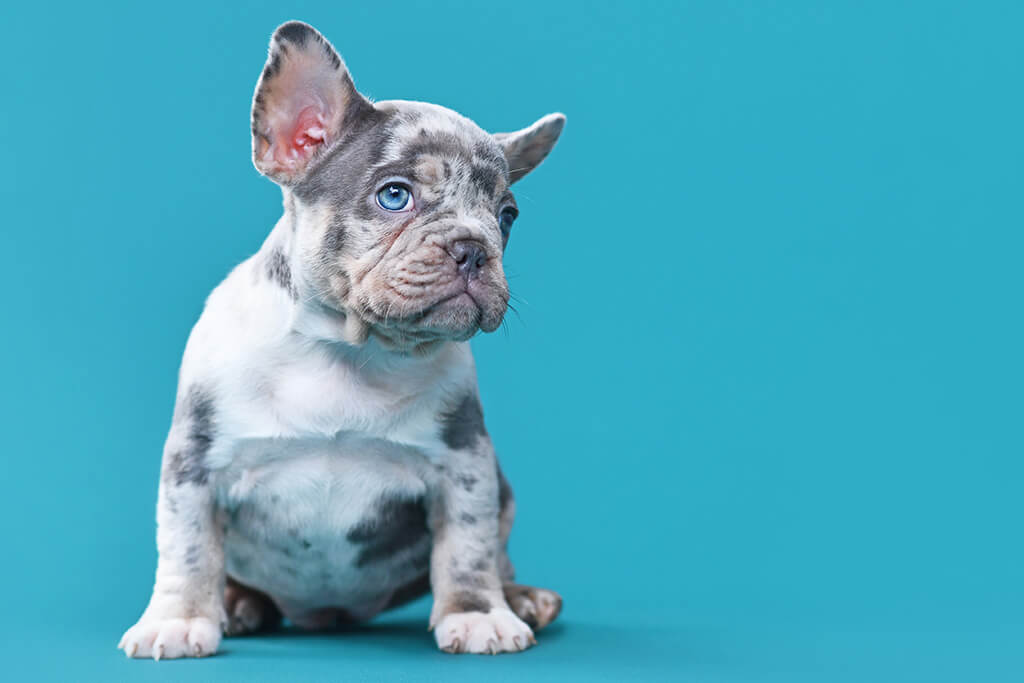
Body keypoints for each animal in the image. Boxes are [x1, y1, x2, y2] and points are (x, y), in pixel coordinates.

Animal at [119, 21, 569, 659]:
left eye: (507, 217)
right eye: (394, 195)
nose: (474, 248)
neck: (348, 350)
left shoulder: (465, 466)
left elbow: (469, 548)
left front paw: (478, 613)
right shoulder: (194, 466)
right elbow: (186, 547)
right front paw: (179, 619)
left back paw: (522, 597)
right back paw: (237, 603)